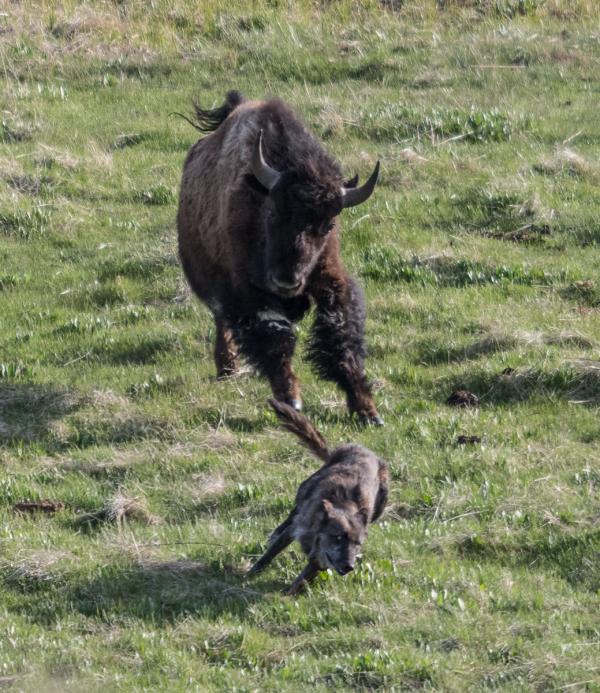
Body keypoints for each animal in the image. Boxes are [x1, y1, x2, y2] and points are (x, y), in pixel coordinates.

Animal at [177, 91, 382, 424]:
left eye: (328, 224)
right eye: (272, 212)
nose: (287, 281)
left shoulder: (330, 278)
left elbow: (341, 334)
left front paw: (367, 409)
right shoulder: (247, 292)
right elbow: (275, 339)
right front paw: (291, 399)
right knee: (222, 320)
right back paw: (227, 367)